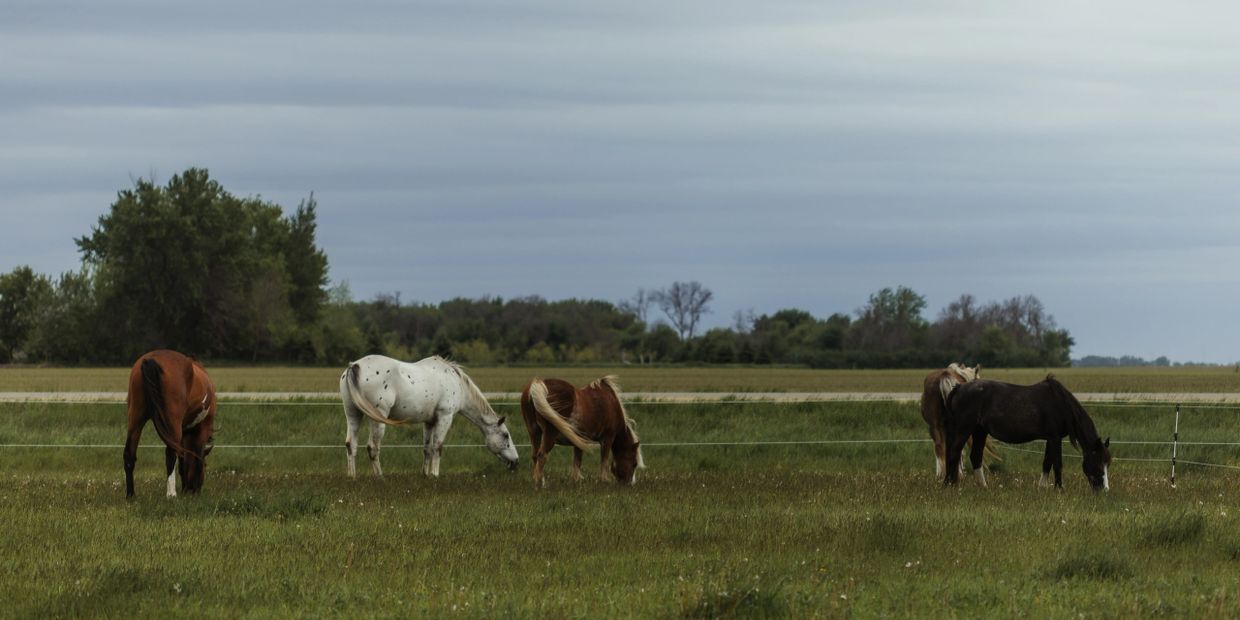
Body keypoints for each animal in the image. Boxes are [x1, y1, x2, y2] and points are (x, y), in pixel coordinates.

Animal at [123, 349, 216, 498]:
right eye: (205, 467)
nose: (195, 490)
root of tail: (150, 359)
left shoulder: (184, 432)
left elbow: (183, 460)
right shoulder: (202, 429)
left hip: (135, 420)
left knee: (129, 454)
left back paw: (131, 495)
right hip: (173, 425)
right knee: (170, 454)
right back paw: (171, 494)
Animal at [340, 354, 518, 478]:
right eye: (506, 435)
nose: (516, 462)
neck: (456, 383)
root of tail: (355, 365)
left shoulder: (429, 422)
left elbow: (427, 449)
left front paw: (425, 474)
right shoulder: (445, 417)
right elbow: (438, 447)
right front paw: (435, 474)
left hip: (352, 414)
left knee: (351, 444)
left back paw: (352, 476)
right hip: (377, 419)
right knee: (373, 447)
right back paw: (380, 477)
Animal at [944, 376, 1111, 491]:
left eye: (1107, 463)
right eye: (1098, 462)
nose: (1104, 490)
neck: (1061, 404)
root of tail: (959, 387)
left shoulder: (1050, 439)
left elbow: (1047, 463)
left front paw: (1042, 487)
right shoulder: (1055, 438)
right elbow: (1057, 463)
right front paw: (1059, 489)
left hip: (980, 431)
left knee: (975, 456)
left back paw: (983, 486)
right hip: (965, 428)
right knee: (954, 452)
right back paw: (948, 484)